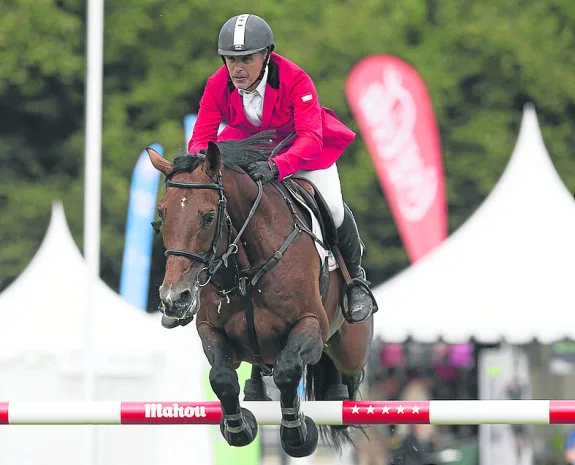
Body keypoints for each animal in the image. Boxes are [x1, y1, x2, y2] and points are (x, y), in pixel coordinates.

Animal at [146, 131, 376, 456]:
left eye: (208, 217)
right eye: (161, 215)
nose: (174, 299)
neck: (246, 266)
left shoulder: (311, 324)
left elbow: (287, 370)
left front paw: (297, 434)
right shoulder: (210, 330)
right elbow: (222, 377)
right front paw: (238, 427)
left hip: (351, 347)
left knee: (340, 363)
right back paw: (257, 391)